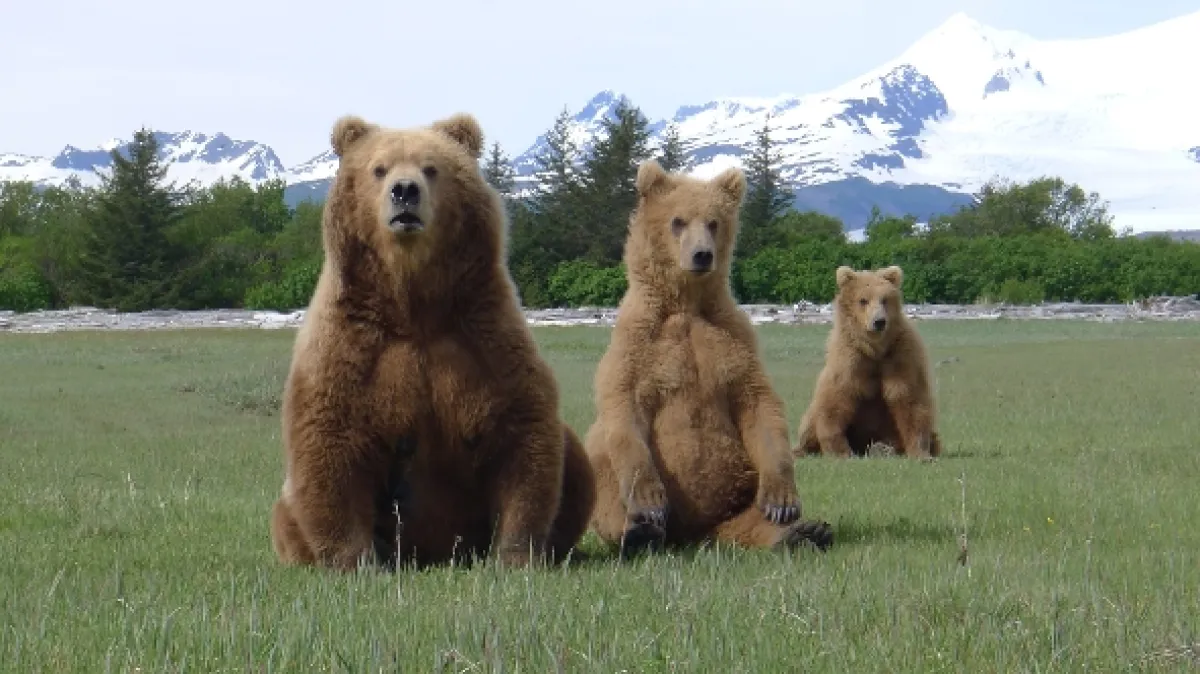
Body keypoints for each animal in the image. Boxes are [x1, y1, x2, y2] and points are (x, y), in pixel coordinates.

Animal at [269, 112, 595, 572]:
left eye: (431, 168)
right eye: (379, 168)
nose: (404, 191)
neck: (414, 307)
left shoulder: (483, 337)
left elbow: (522, 430)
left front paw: (515, 555)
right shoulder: (353, 345)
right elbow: (330, 438)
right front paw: (355, 561)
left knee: (576, 460)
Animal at [583, 159, 834, 557]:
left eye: (714, 222)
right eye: (678, 220)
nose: (702, 254)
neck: (686, 303)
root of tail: (692, 536)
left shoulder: (732, 338)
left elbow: (759, 404)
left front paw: (783, 503)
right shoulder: (639, 343)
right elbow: (624, 404)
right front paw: (649, 504)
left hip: (739, 490)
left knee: (748, 519)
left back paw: (801, 532)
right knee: (602, 462)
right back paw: (638, 535)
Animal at [792, 265, 942, 460]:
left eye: (884, 299)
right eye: (863, 300)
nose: (879, 321)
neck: (875, 350)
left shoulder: (901, 356)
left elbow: (910, 399)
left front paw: (921, 453)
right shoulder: (849, 361)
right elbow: (834, 402)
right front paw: (841, 452)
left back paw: (883, 448)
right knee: (812, 418)